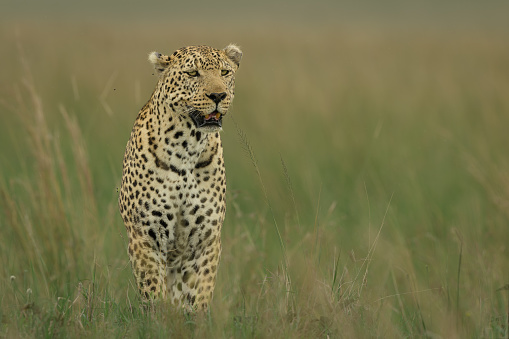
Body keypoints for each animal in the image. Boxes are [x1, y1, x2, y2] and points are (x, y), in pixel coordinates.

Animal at [118, 44, 241, 310]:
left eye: (224, 72)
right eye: (193, 73)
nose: (218, 96)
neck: (188, 145)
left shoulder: (205, 240)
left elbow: (199, 292)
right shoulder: (146, 236)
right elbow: (154, 291)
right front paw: (158, 316)